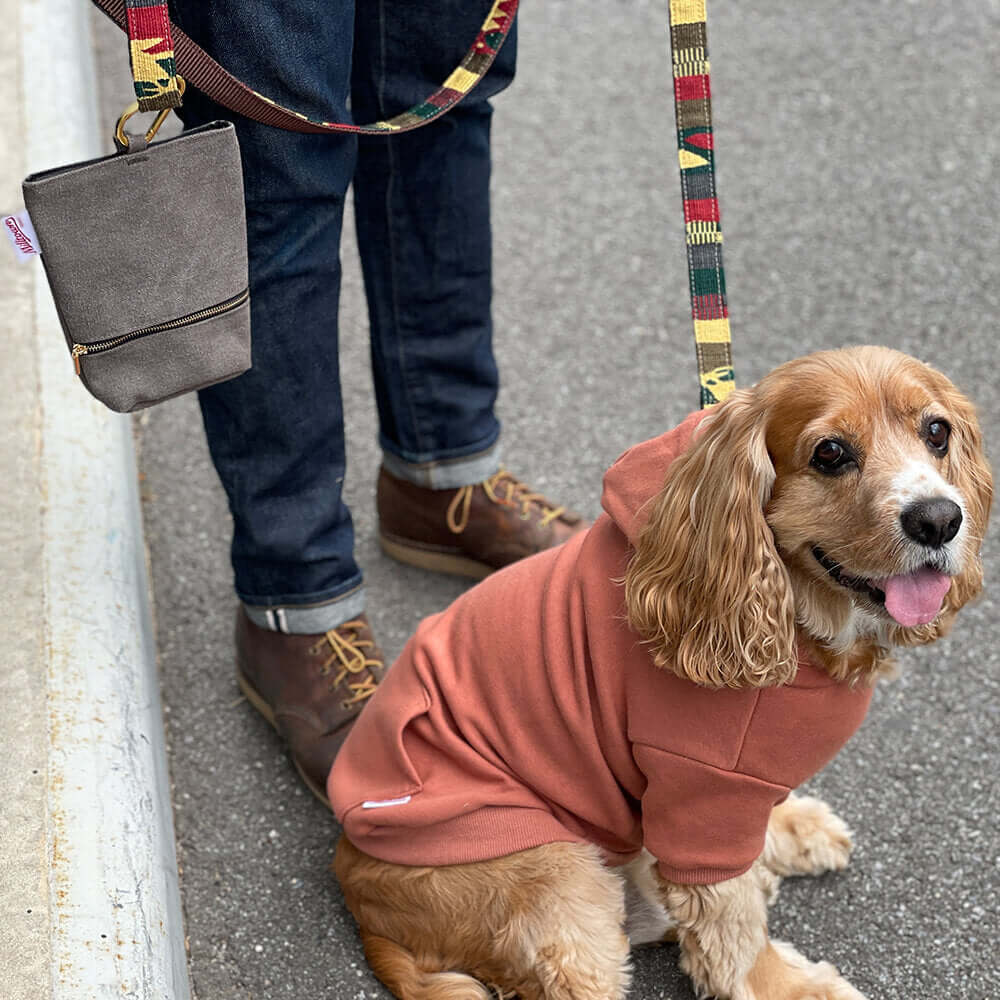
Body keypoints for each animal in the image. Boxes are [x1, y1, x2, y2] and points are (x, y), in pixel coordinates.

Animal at [326, 346, 992, 1000]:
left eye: (937, 432)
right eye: (830, 453)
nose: (939, 519)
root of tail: (362, 900)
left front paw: (787, 826)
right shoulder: (702, 785)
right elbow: (731, 927)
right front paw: (789, 986)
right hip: (551, 871)